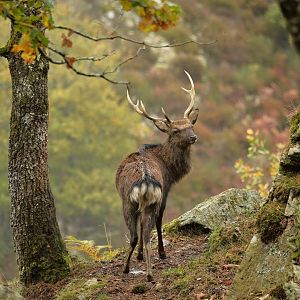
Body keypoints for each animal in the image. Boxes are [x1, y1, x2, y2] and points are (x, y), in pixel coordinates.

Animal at [115, 70, 199, 282]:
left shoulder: (164, 190)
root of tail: (145, 181)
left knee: (138, 234)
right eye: (176, 130)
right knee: (144, 232)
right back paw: (146, 271)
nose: (194, 137)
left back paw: (132, 269)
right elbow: (160, 220)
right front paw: (158, 254)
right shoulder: (165, 189)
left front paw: (157, 254)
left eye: (191, 125)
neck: (170, 169)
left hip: (130, 201)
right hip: (145, 200)